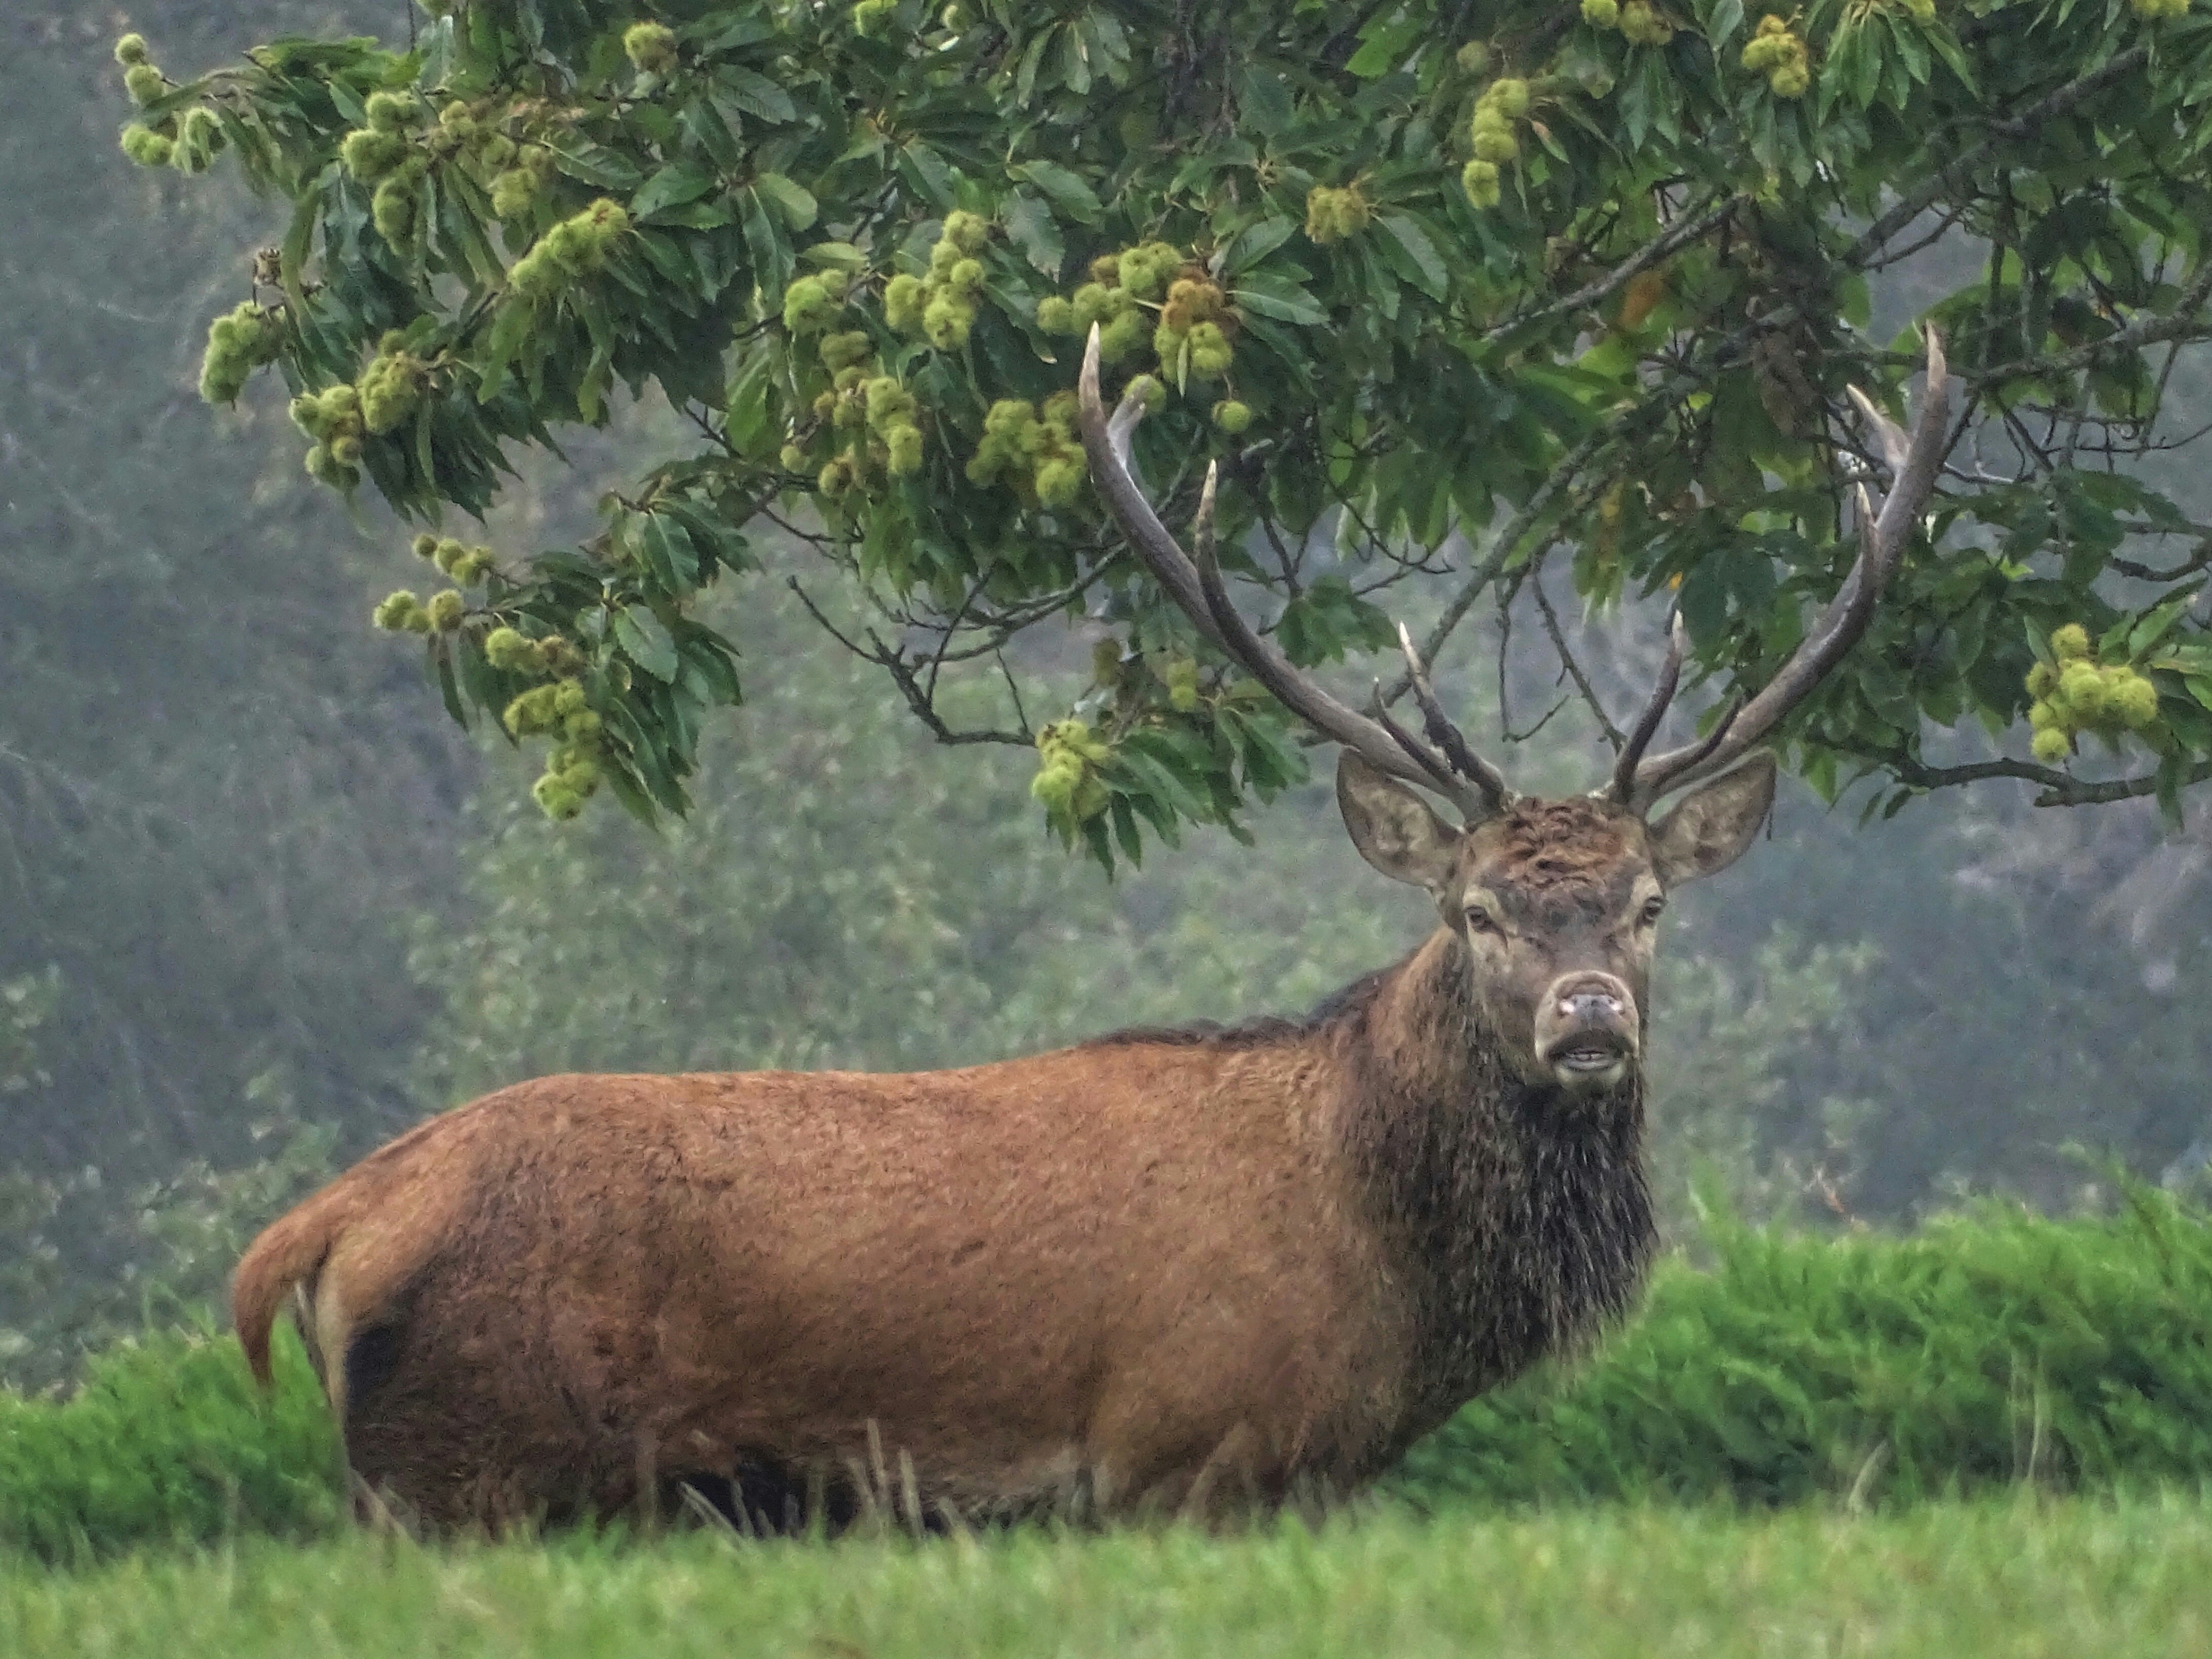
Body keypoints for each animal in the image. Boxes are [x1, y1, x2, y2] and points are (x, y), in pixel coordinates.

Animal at [232, 324, 1950, 1531]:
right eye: (1476, 911)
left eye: (1648, 904)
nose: (1588, 1018)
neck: (1383, 1290)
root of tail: (316, 1230)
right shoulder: (1183, 1451)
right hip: (475, 1467)